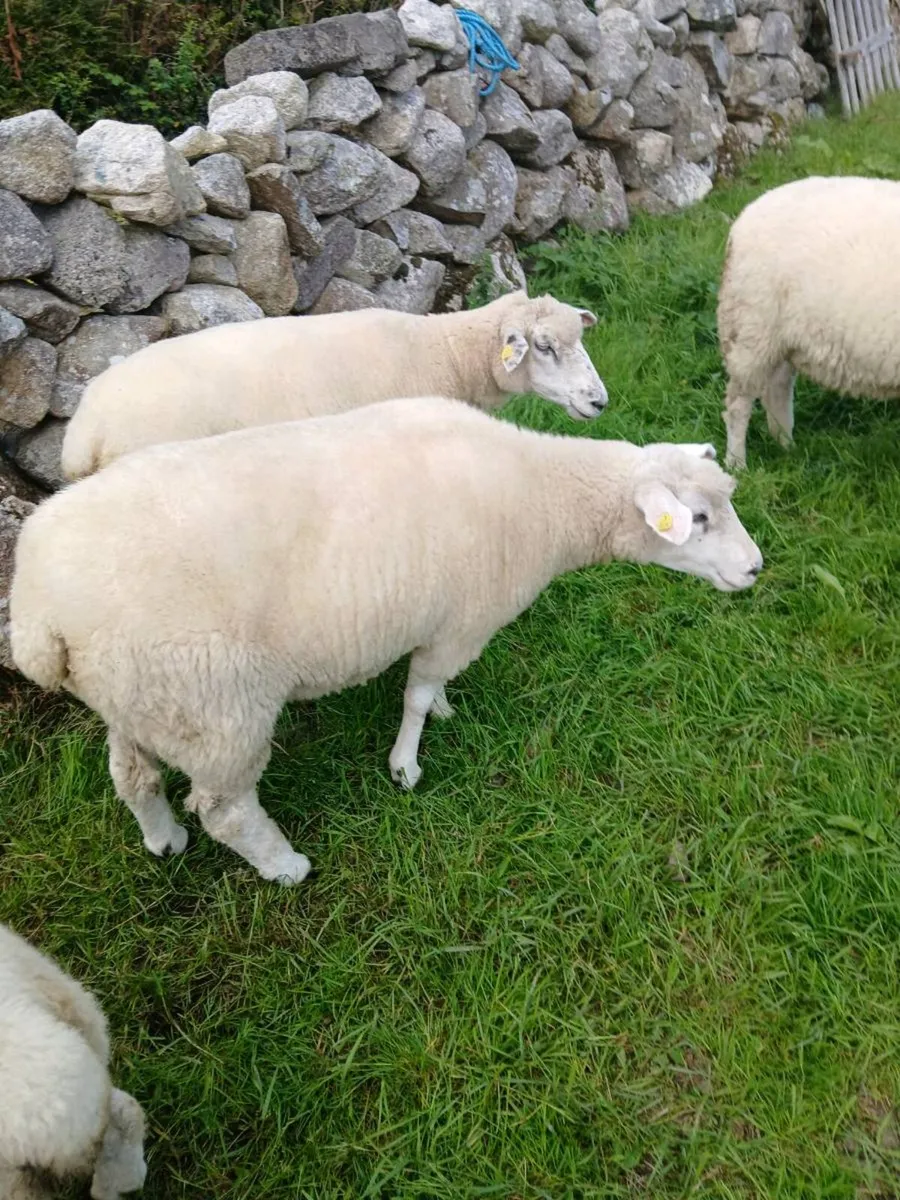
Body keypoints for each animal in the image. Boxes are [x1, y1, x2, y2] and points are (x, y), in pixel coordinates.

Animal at [12, 396, 763, 885]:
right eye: (697, 519)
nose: (757, 568)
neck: (543, 499)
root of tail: (37, 616)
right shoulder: (462, 621)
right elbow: (417, 694)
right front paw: (406, 764)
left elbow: (433, 691)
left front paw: (446, 713)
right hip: (216, 706)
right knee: (226, 811)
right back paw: (285, 866)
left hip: (142, 698)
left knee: (131, 774)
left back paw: (164, 840)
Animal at [718, 175, 900, 469]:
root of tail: (743, 220)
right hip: (751, 328)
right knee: (738, 403)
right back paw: (737, 463)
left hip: (781, 338)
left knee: (776, 389)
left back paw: (785, 446)